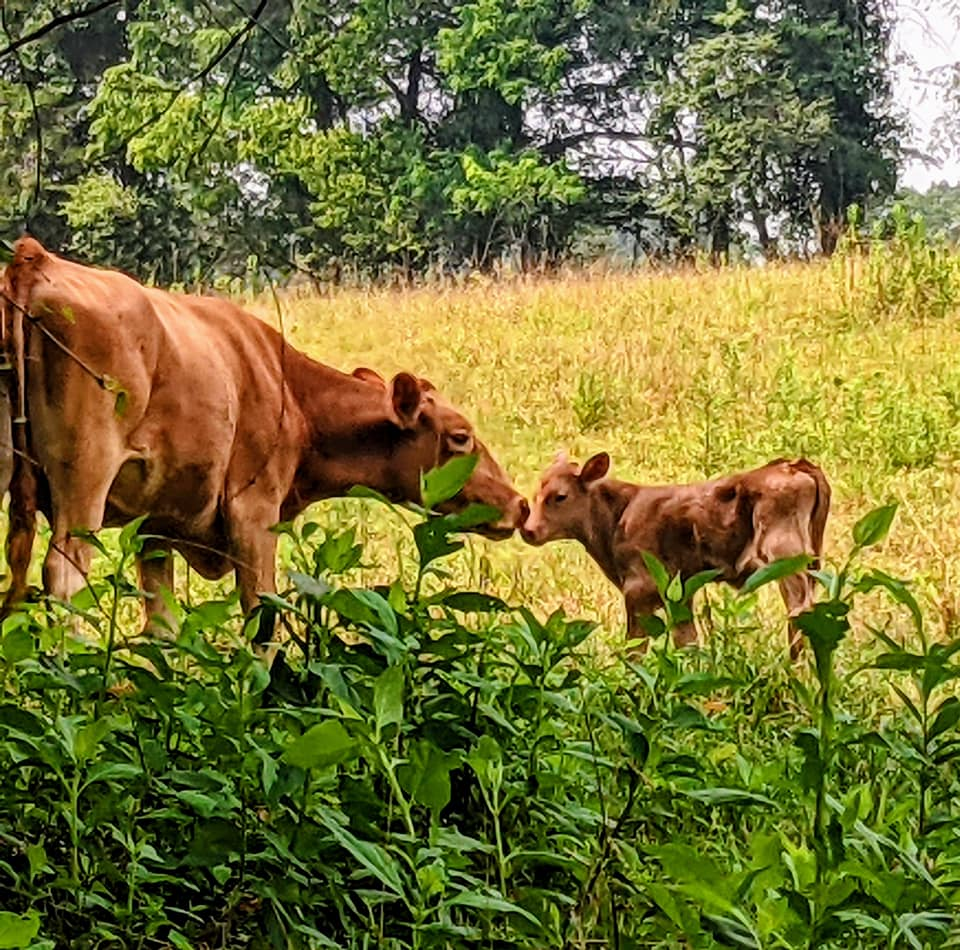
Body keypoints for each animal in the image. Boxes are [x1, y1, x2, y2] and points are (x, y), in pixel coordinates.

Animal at [0, 236, 527, 636]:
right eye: (460, 436)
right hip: (85, 477)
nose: (520, 504)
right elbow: (263, 620)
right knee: (65, 575)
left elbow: (162, 629)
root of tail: (35, 259)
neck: (291, 394)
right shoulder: (253, 511)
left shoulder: (155, 524)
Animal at [521, 453, 830, 659]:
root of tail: (794, 465)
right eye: (536, 493)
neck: (616, 519)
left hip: (785, 556)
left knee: (800, 610)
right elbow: (688, 641)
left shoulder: (639, 588)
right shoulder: (680, 592)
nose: (528, 530)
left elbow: (635, 650)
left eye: (560, 496)